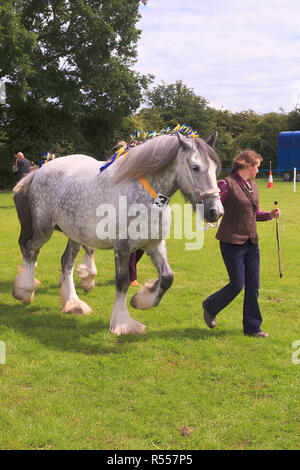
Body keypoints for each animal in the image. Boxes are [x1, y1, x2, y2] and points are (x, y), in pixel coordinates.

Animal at [12, 131, 224, 334]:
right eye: (195, 167)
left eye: (216, 168)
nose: (216, 212)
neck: (144, 197)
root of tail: (40, 170)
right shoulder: (122, 247)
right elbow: (122, 282)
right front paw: (123, 323)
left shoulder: (154, 244)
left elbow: (167, 277)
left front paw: (141, 300)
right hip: (44, 230)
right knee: (30, 250)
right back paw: (25, 291)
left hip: (75, 235)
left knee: (67, 262)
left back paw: (73, 303)